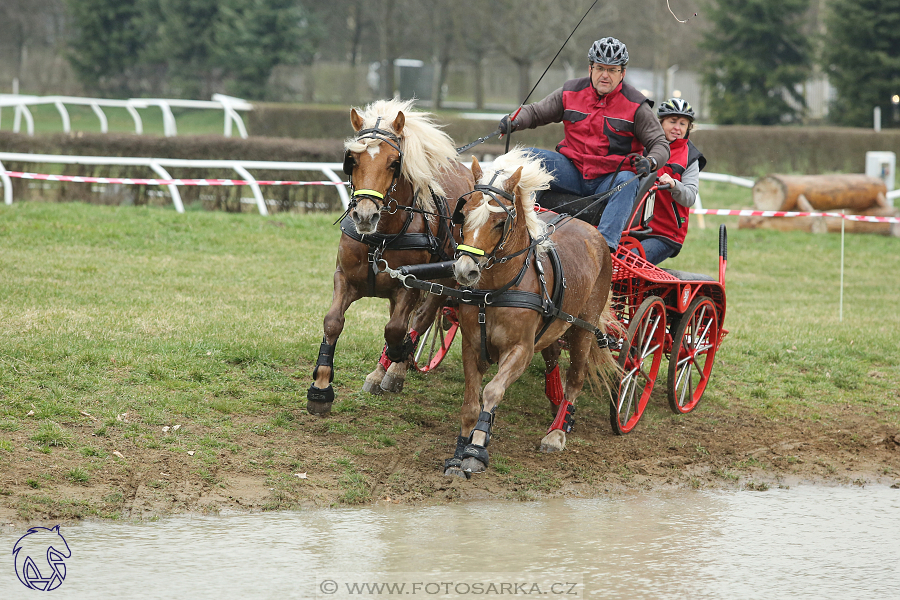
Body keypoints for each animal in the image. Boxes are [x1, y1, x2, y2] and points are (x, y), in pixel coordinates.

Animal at [308, 99, 478, 418]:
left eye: (393, 162)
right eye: (352, 160)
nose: (365, 216)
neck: (380, 238)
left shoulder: (409, 284)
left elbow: (397, 329)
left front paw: (400, 355)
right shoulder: (345, 278)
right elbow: (333, 322)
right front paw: (321, 387)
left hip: (449, 274)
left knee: (423, 317)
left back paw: (395, 368)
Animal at [442, 151, 620, 478]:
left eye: (500, 222)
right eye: (464, 213)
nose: (464, 270)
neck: (495, 291)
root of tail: (593, 231)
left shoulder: (520, 351)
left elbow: (492, 392)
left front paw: (476, 450)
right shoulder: (472, 345)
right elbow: (471, 404)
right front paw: (460, 451)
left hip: (584, 328)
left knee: (576, 378)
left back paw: (557, 431)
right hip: (554, 328)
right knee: (553, 361)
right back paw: (557, 406)